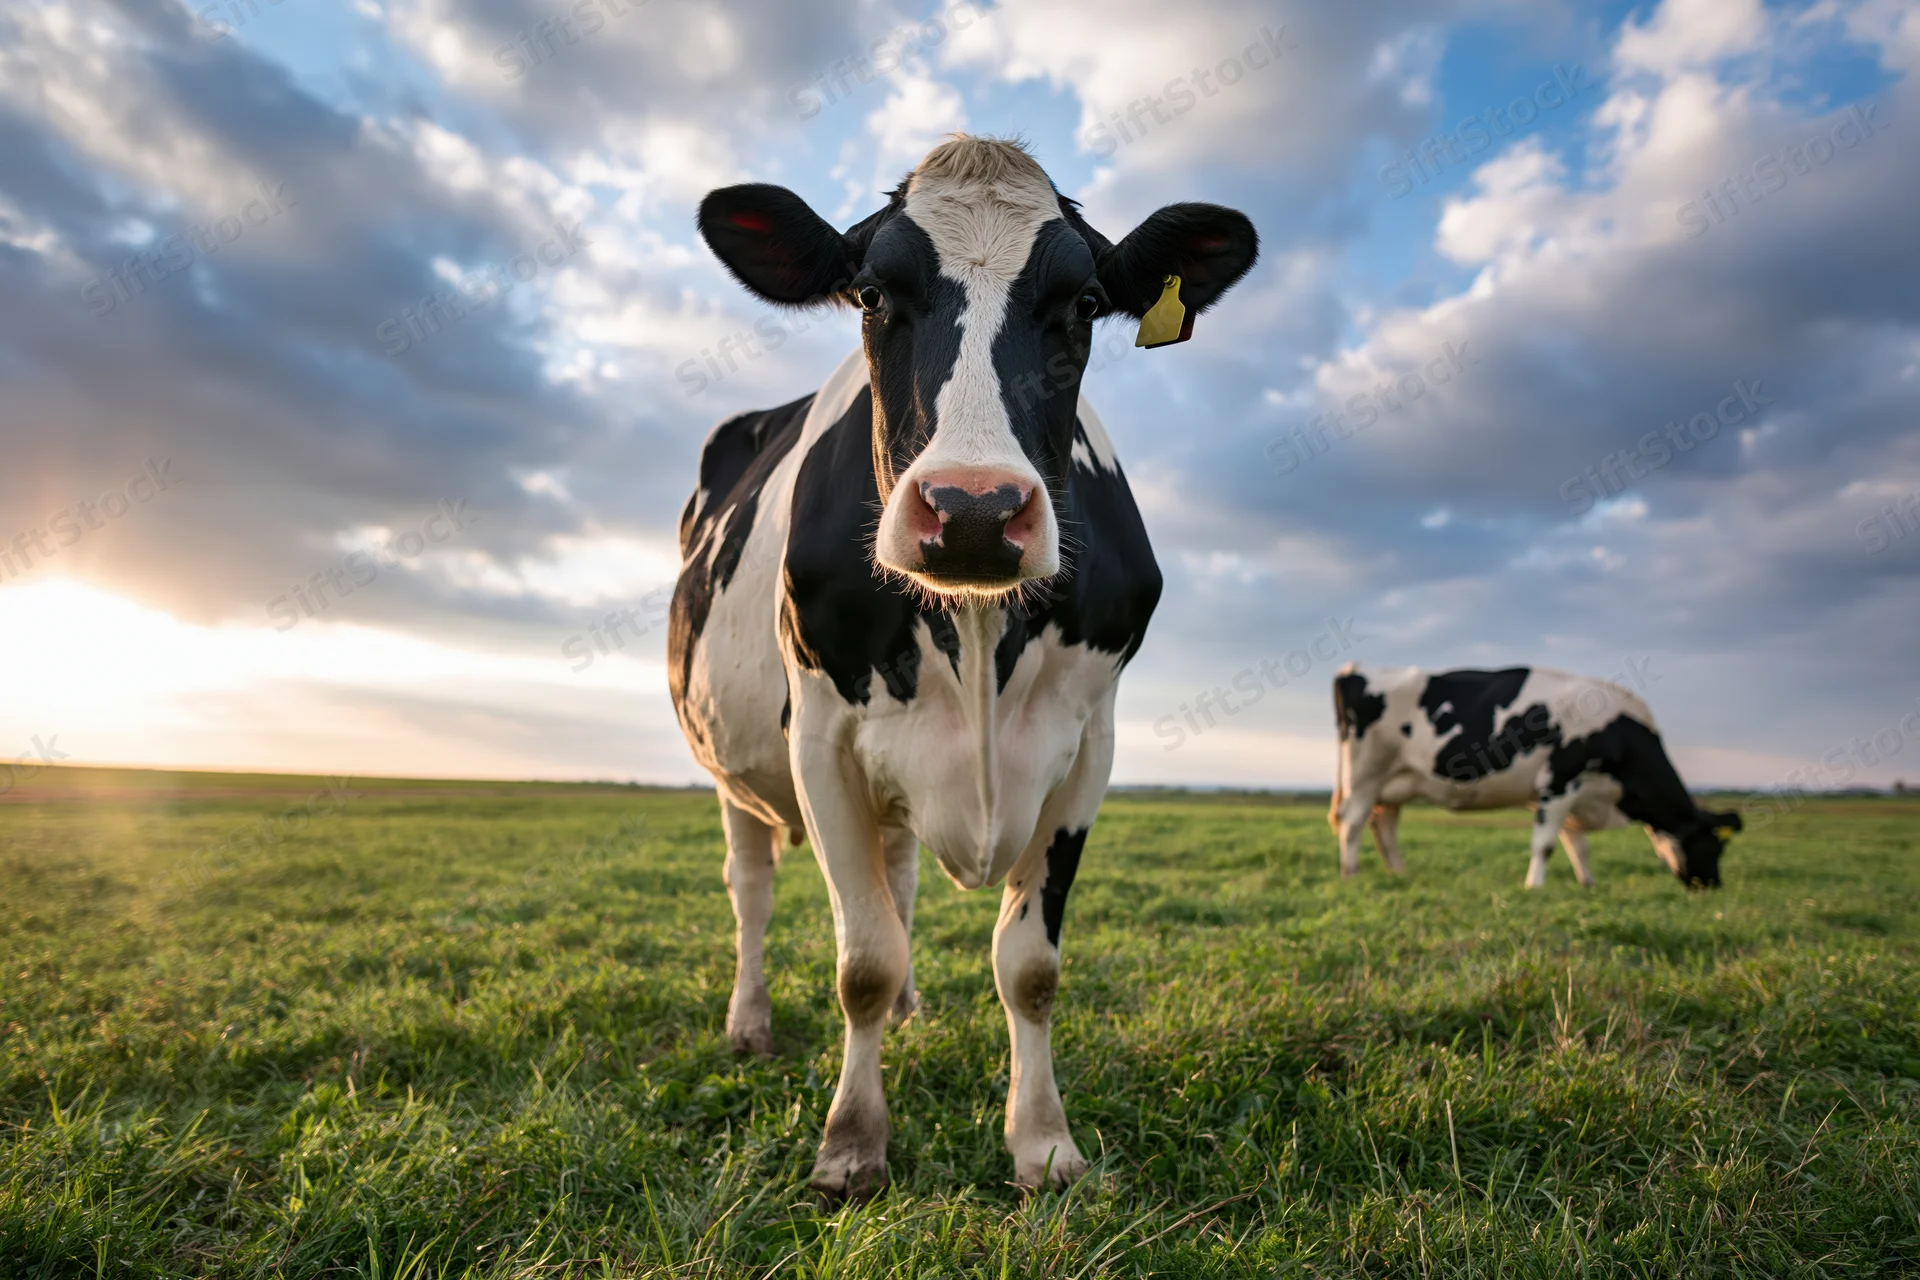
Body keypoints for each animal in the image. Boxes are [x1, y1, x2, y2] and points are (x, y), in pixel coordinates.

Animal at [668, 136, 1257, 1200]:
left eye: (1084, 305)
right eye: (869, 294)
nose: (974, 510)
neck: (978, 633)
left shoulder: (1087, 747)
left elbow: (1027, 963)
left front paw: (1045, 1145)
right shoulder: (820, 742)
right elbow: (860, 959)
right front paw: (851, 1144)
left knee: (898, 880)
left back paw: (909, 1012)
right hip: (733, 772)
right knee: (753, 886)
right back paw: (749, 1024)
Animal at [1328, 663, 1740, 889]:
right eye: (1712, 847)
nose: (1713, 886)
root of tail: (1354, 671)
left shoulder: (1573, 792)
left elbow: (1577, 844)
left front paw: (1587, 883)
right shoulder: (1559, 781)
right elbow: (1545, 844)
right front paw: (1534, 886)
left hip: (1395, 780)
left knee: (1384, 824)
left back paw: (1398, 874)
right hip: (1365, 773)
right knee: (1352, 822)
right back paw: (1350, 874)